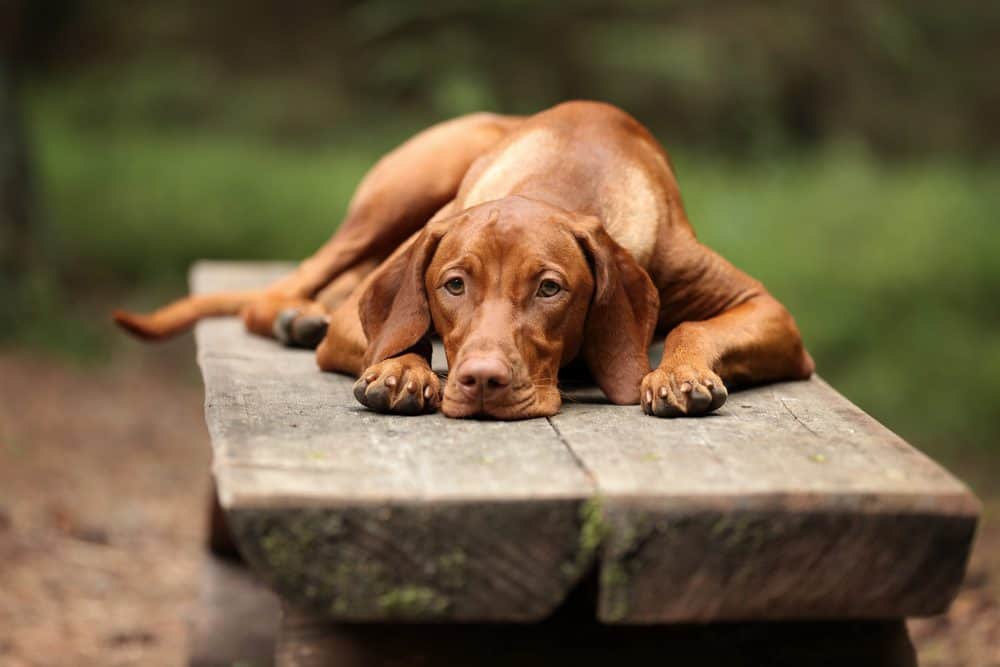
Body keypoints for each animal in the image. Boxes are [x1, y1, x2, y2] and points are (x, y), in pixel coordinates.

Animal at [113, 102, 812, 420]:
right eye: (453, 285)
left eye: (550, 289)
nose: (480, 382)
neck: (566, 179)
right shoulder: (375, 311)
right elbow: (400, 336)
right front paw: (404, 371)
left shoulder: (768, 309)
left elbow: (693, 324)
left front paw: (677, 373)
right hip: (405, 189)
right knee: (286, 288)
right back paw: (298, 317)